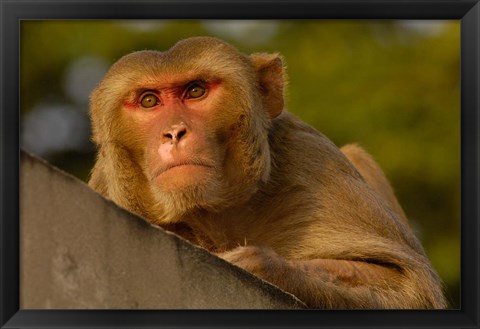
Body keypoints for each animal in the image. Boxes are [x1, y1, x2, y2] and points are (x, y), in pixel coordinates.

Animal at [89, 36, 446, 308]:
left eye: (195, 91)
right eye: (149, 101)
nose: (175, 132)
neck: (213, 215)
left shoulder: (312, 160)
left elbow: (410, 286)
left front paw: (263, 266)